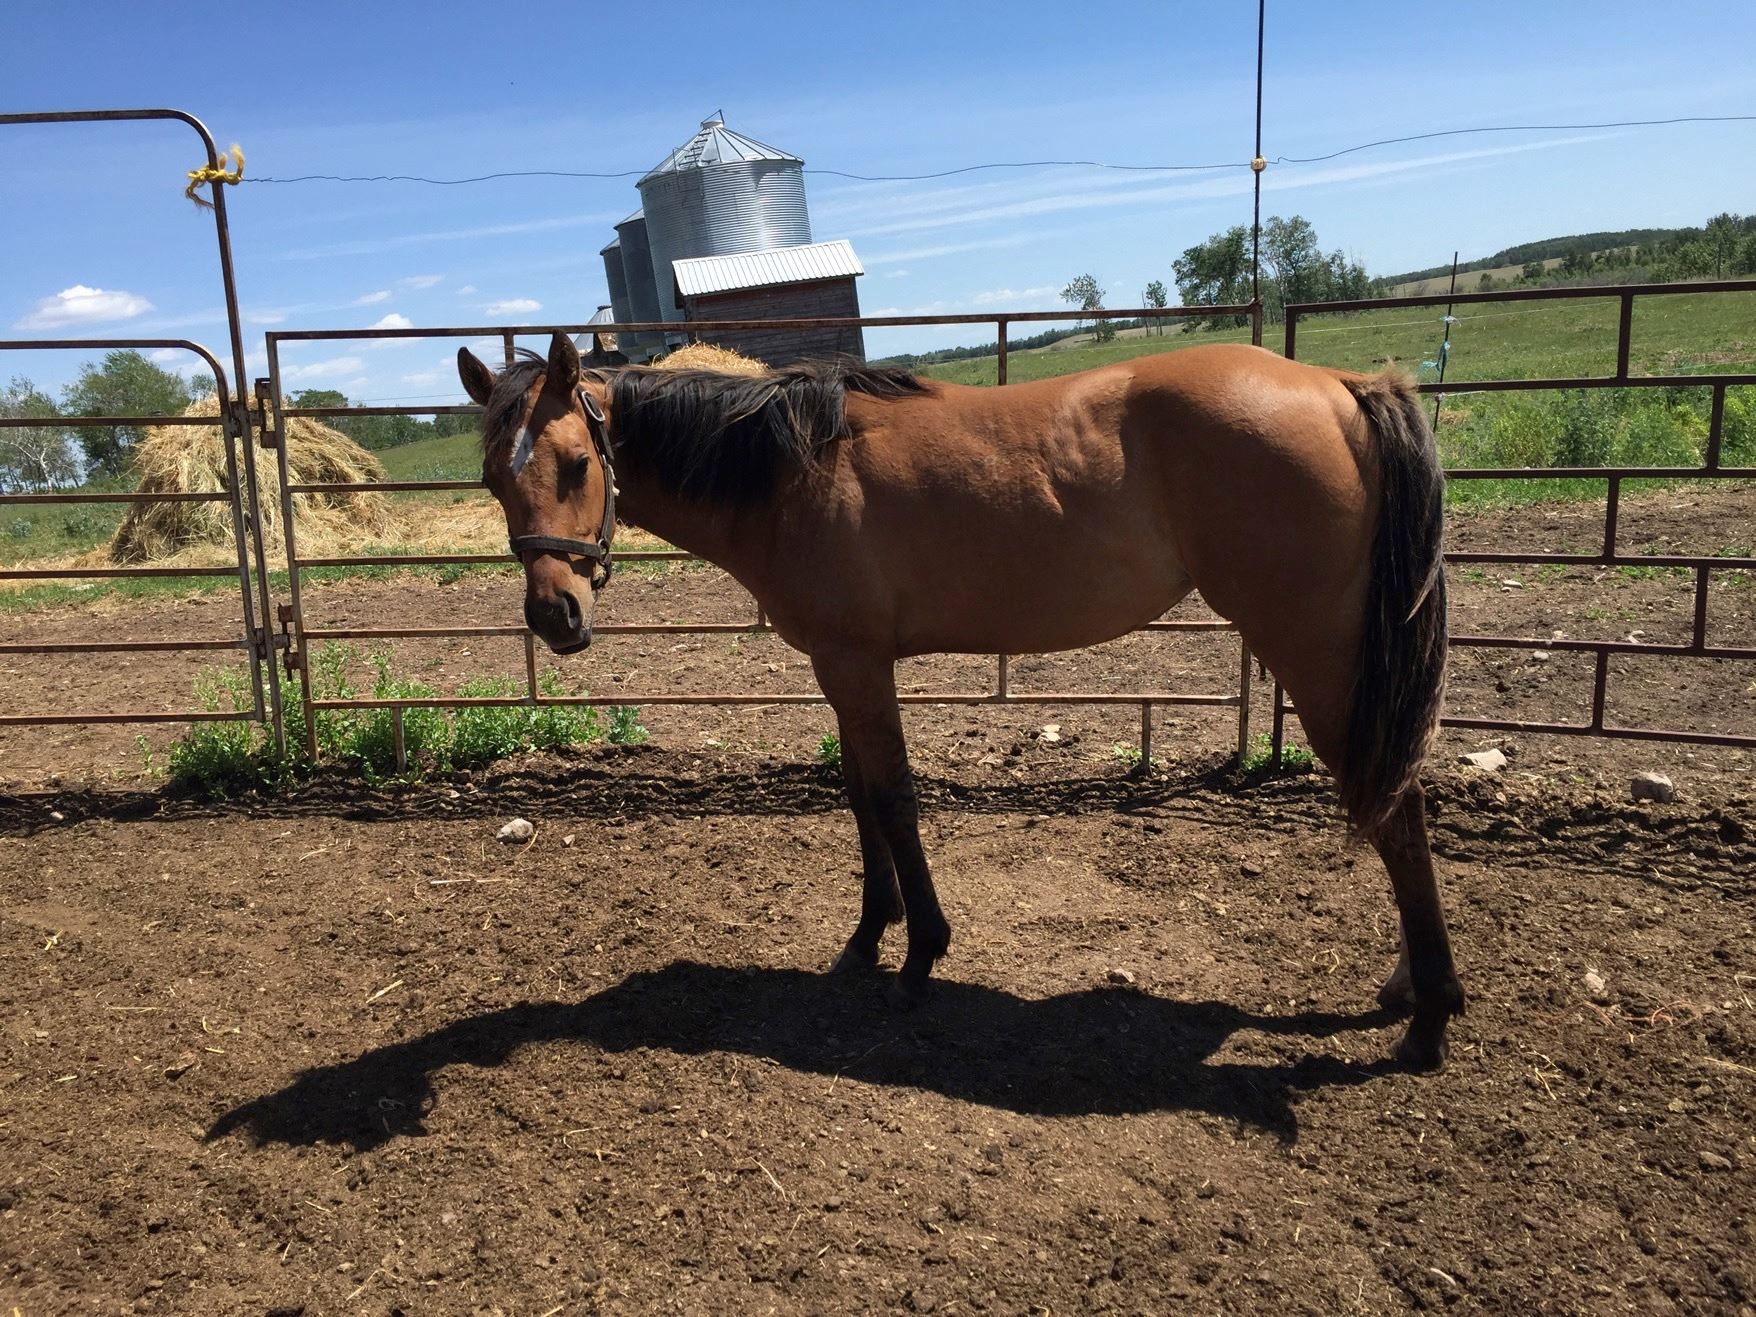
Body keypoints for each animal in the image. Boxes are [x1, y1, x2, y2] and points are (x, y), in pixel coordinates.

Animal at [457, 331, 1463, 1068]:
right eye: (495, 478)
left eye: (576, 462)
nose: (554, 615)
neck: (792, 469)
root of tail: (1339, 387)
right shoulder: (841, 666)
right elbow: (859, 799)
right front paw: (869, 934)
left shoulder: (861, 665)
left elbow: (895, 800)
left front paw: (919, 956)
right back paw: (1405, 988)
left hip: (1321, 660)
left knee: (1397, 808)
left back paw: (1430, 1015)